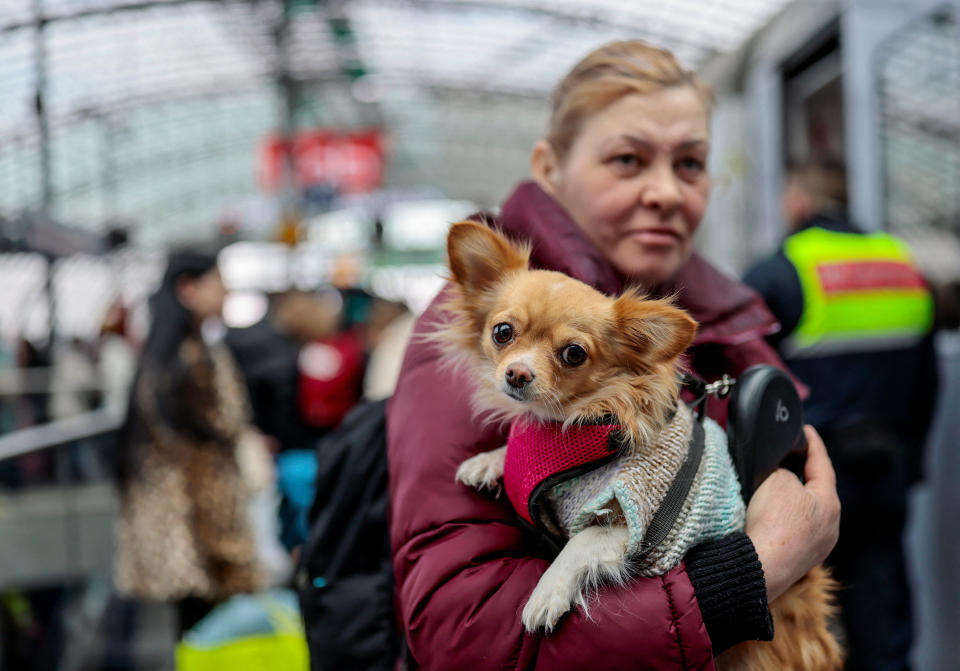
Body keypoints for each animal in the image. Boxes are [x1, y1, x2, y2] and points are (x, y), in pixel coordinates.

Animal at [436, 223, 840, 668]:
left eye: (573, 354)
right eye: (502, 332)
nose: (517, 374)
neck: (584, 430)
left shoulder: (633, 522)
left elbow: (578, 543)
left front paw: (546, 591)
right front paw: (489, 461)